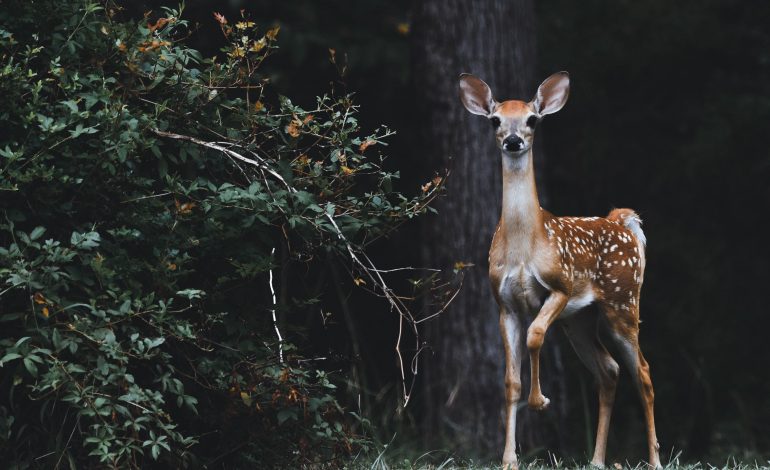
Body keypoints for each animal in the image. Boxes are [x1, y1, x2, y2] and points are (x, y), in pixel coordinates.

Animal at [458, 71, 661, 470]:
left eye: (532, 120)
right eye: (495, 120)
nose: (514, 140)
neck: (525, 245)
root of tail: (623, 221)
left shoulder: (560, 286)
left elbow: (536, 335)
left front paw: (540, 401)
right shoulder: (504, 304)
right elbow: (510, 380)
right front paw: (509, 459)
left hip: (623, 302)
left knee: (643, 372)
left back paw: (656, 460)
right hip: (580, 320)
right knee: (609, 371)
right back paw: (596, 461)